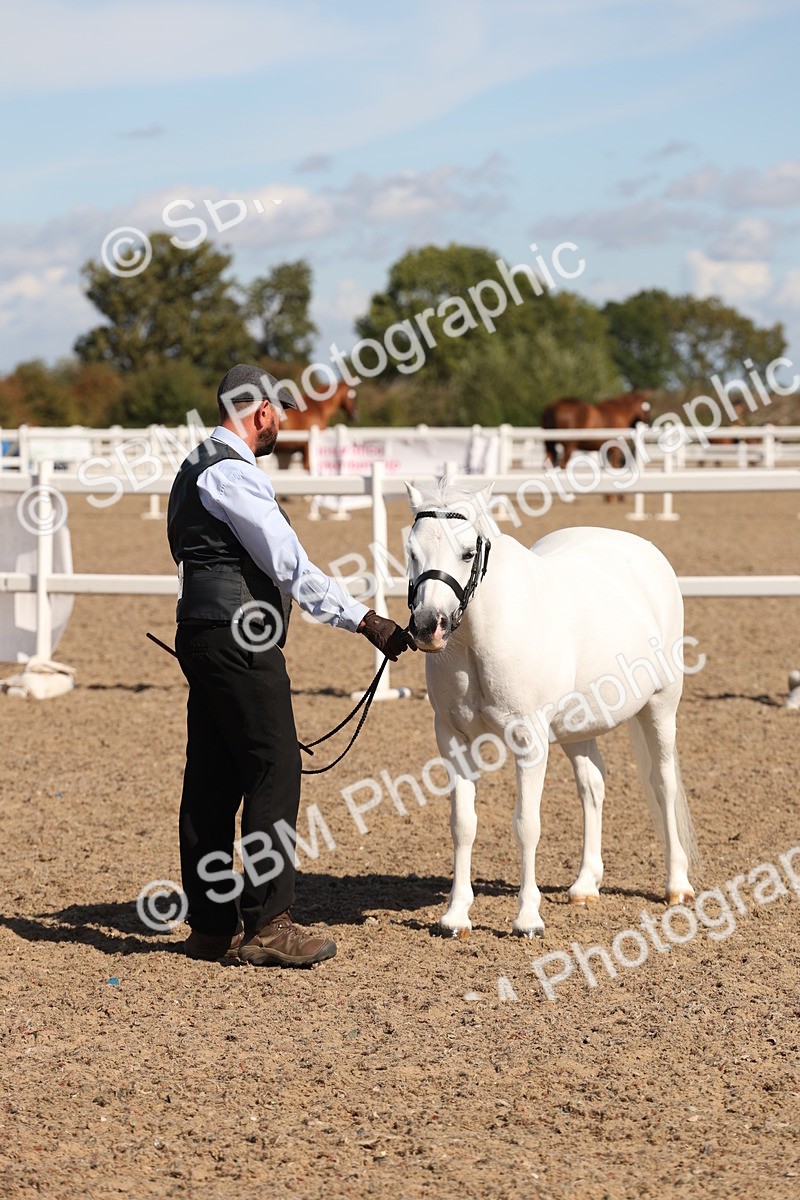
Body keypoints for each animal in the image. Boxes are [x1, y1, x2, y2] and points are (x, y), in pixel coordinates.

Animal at [404, 479, 697, 938]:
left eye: (467, 552)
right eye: (412, 550)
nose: (427, 627)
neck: (481, 637)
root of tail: (645, 551)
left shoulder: (530, 741)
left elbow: (527, 825)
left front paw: (527, 919)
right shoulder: (453, 739)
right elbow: (463, 824)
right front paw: (455, 915)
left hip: (661, 707)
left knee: (663, 784)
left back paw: (676, 885)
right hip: (577, 726)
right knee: (593, 785)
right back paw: (585, 885)